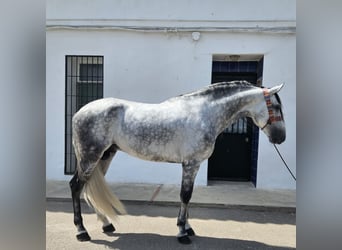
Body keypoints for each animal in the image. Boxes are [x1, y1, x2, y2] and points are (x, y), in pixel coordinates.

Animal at [69, 80, 286, 244]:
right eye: (276, 107)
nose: (281, 138)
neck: (204, 114)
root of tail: (79, 112)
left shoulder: (193, 164)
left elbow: (188, 196)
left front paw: (188, 228)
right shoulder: (191, 163)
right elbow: (185, 195)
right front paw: (182, 233)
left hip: (104, 156)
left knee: (88, 188)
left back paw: (106, 224)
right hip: (90, 157)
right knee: (76, 186)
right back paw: (81, 231)